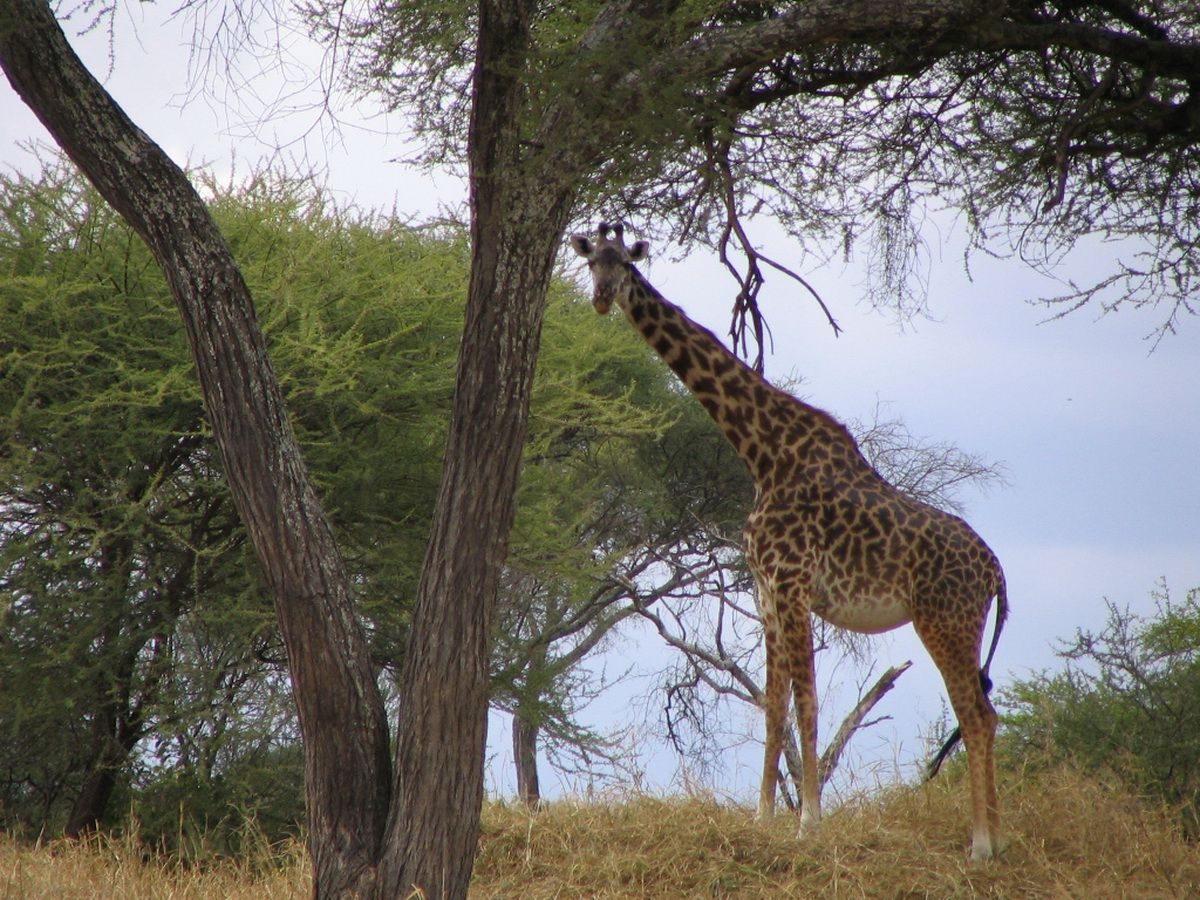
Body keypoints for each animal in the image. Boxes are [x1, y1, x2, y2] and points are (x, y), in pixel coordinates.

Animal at [566, 222, 1008, 864]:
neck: (763, 451)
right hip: (956, 622)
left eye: (624, 263)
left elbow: (807, 701)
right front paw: (762, 818)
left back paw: (979, 845)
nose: (601, 299)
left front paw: (809, 824)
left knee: (974, 715)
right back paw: (997, 836)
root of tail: (996, 570)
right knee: (990, 714)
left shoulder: (795, 583)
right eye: (589, 263)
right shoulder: (766, 588)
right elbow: (774, 706)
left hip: (945, 618)